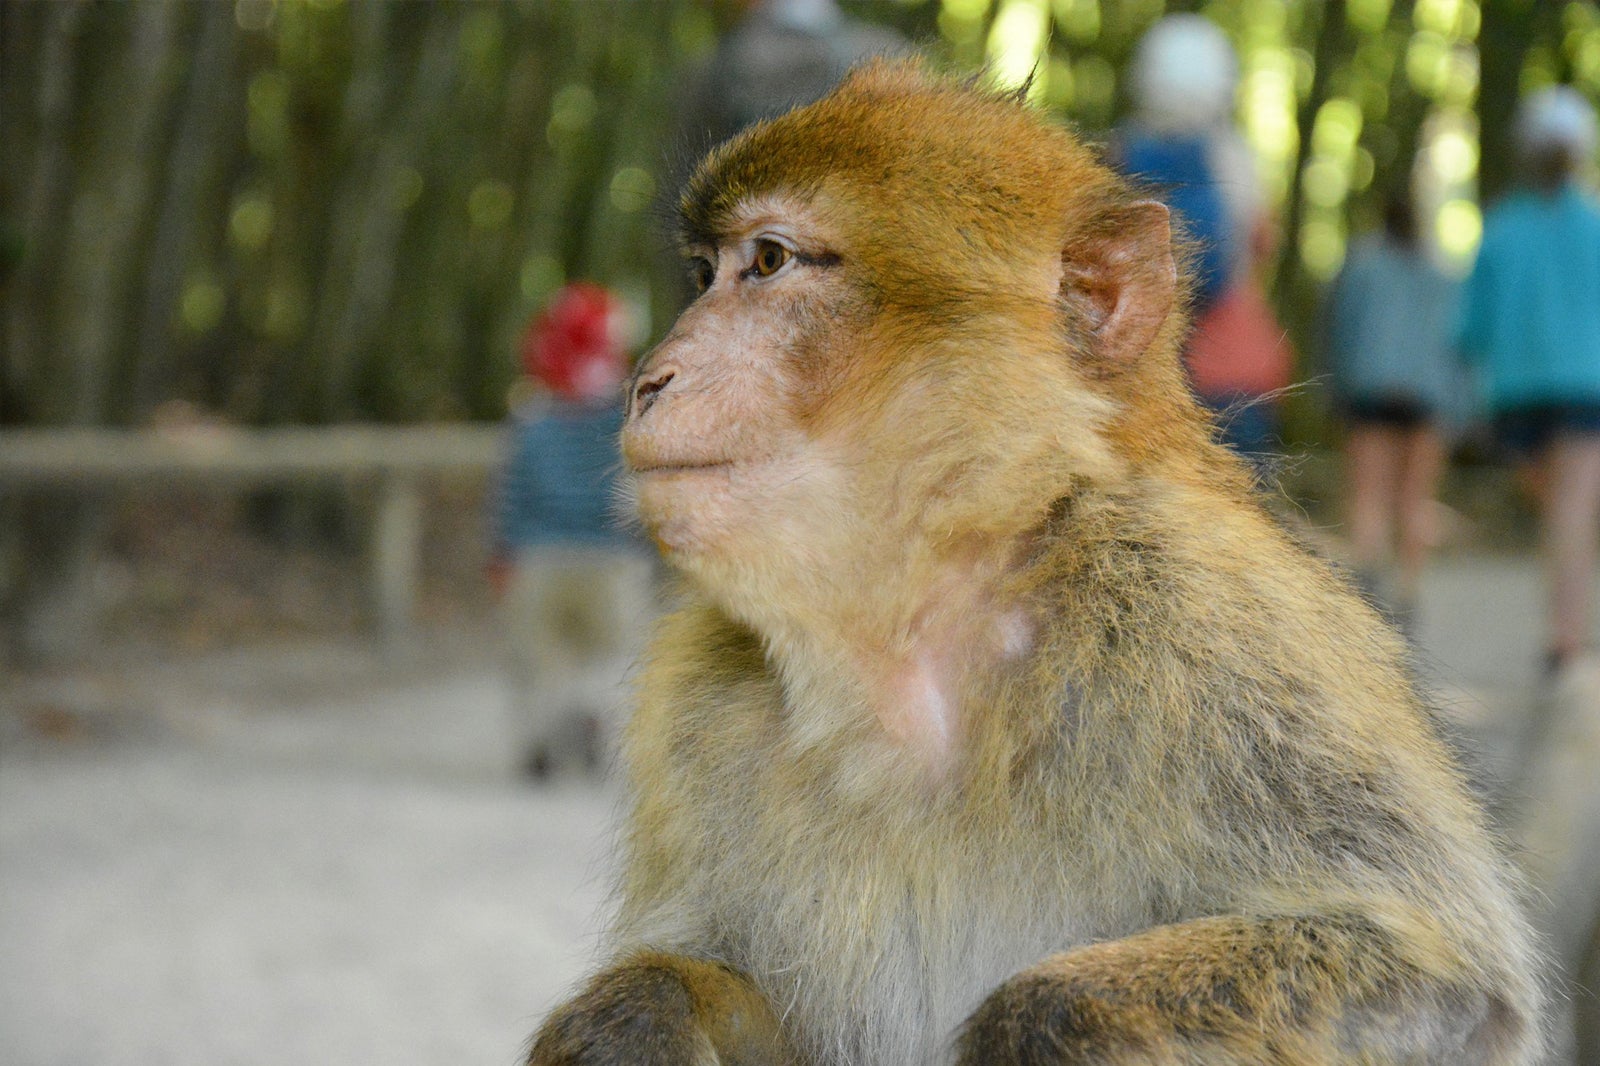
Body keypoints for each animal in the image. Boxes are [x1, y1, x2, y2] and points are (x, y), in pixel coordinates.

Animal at [524, 60, 1536, 1062]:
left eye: (768, 262)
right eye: (704, 274)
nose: (649, 380)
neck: (917, 646)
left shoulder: (1219, 633)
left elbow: (1450, 986)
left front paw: (1035, 1018)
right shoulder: (695, 701)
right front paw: (633, 1018)